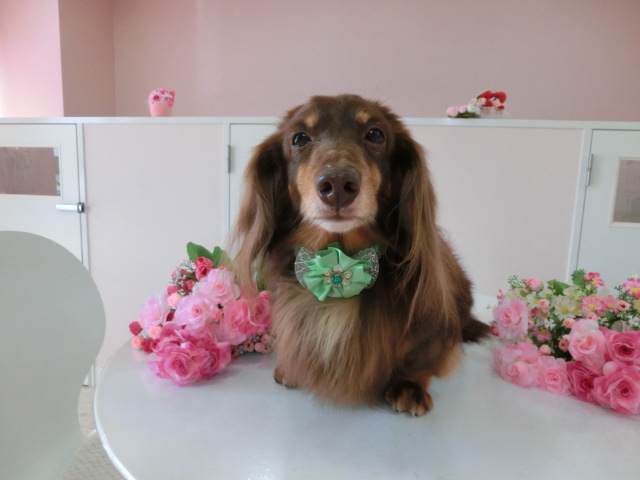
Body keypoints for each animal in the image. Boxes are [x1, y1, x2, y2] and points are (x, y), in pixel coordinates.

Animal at [233, 94, 490, 416]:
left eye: (376, 134)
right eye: (299, 138)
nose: (337, 185)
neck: (340, 255)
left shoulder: (433, 325)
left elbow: (420, 357)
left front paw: (409, 384)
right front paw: (291, 369)